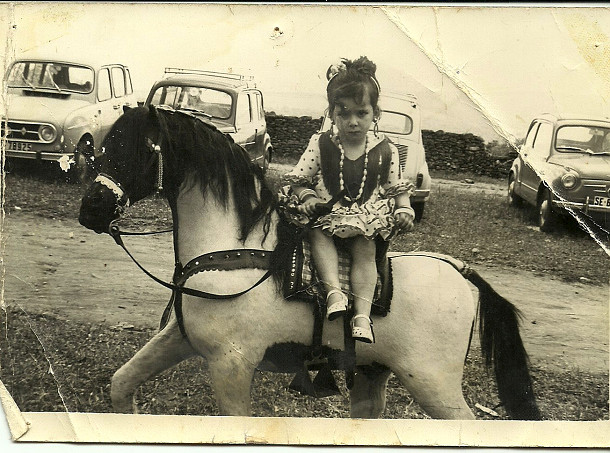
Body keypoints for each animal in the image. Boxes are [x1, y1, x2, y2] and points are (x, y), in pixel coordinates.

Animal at [79, 106, 536, 420]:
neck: (234, 249)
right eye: (104, 146)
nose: (91, 210)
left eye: (136, 150)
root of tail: (459, 270)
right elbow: (121, 384)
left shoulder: (231, 364)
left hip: (433, 385)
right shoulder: (181, 339)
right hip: (373, 375)